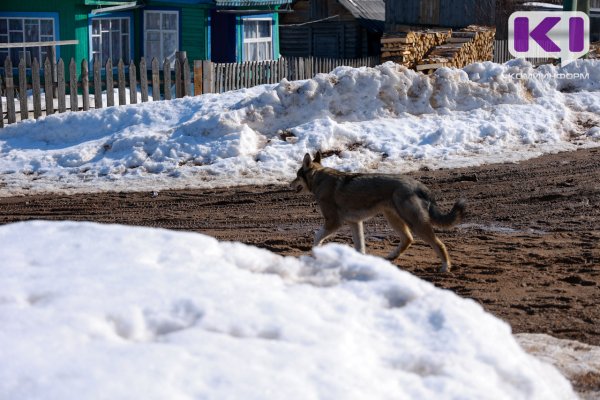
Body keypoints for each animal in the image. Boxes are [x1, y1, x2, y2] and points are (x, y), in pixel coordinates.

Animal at [292, 152, 466, 272]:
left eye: (296, 175)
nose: (289, 184)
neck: (319, 178)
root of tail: (418, 185)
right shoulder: (355, 223)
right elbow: (360, 247)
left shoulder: (333, 222)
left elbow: (317, 237)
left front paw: (315, 253)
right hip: (393, 218)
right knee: (407, 239)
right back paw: (392, 256)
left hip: (414, 223)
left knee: (438, 244)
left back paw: (445, 267)